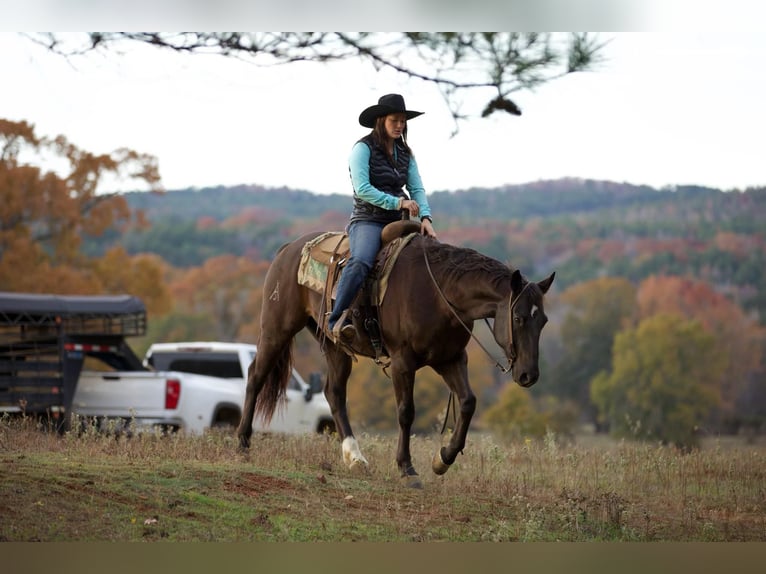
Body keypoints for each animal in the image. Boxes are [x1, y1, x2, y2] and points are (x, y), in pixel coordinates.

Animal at [237, 227, 556, 488]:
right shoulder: (404, 361)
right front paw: (407, 469)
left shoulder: (450, 359)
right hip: (276, 329)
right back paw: (243, 442)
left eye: (543, 321)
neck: (439, 293)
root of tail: (288, 249)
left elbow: (467, 402)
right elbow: (406, 412)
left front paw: (443, 459)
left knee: (334, 393)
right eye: (518, 317)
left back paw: (355, 457)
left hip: (335, 347)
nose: (529, 375)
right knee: (256, 376)